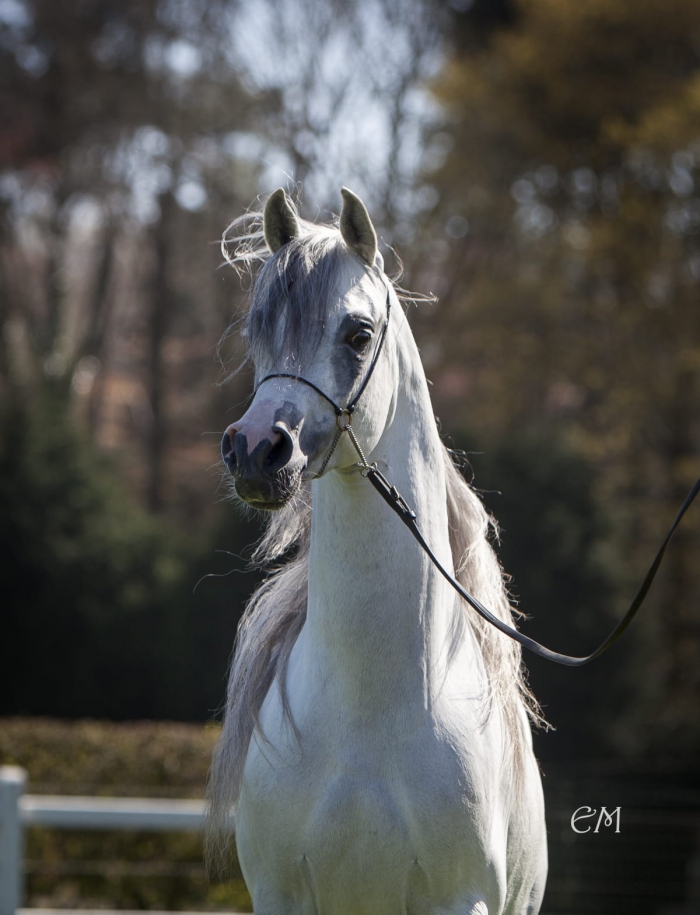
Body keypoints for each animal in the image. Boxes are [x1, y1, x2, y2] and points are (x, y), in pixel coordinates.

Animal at [208, 188, 548, 915]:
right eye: (257, 329)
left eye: (358, 334)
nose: (256, 450)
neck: (371, 714)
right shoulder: (279, 895)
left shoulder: (462, 899)